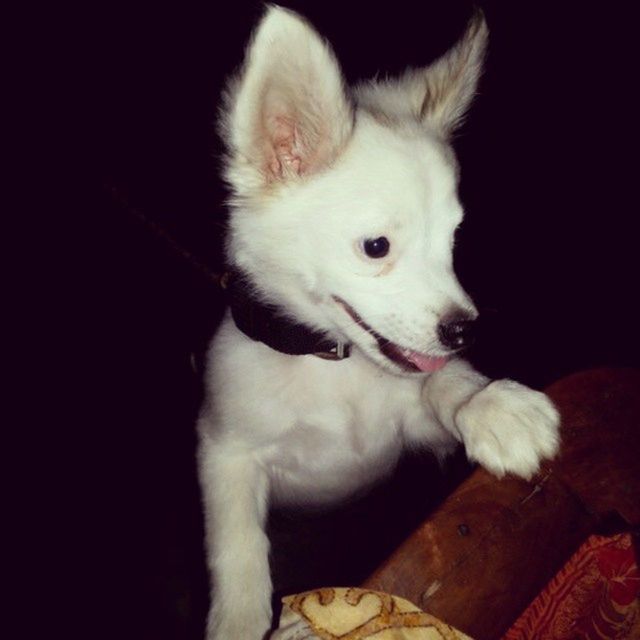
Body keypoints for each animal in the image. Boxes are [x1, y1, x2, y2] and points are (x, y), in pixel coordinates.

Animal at [196, 6, 560, 640]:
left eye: (453, 240)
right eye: (376, 247)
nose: (466, 331)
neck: (331, 368)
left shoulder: (412, 430)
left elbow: (443, 382)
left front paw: (494, 405)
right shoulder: (224, 451)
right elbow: (236, 547)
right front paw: (244, 621)